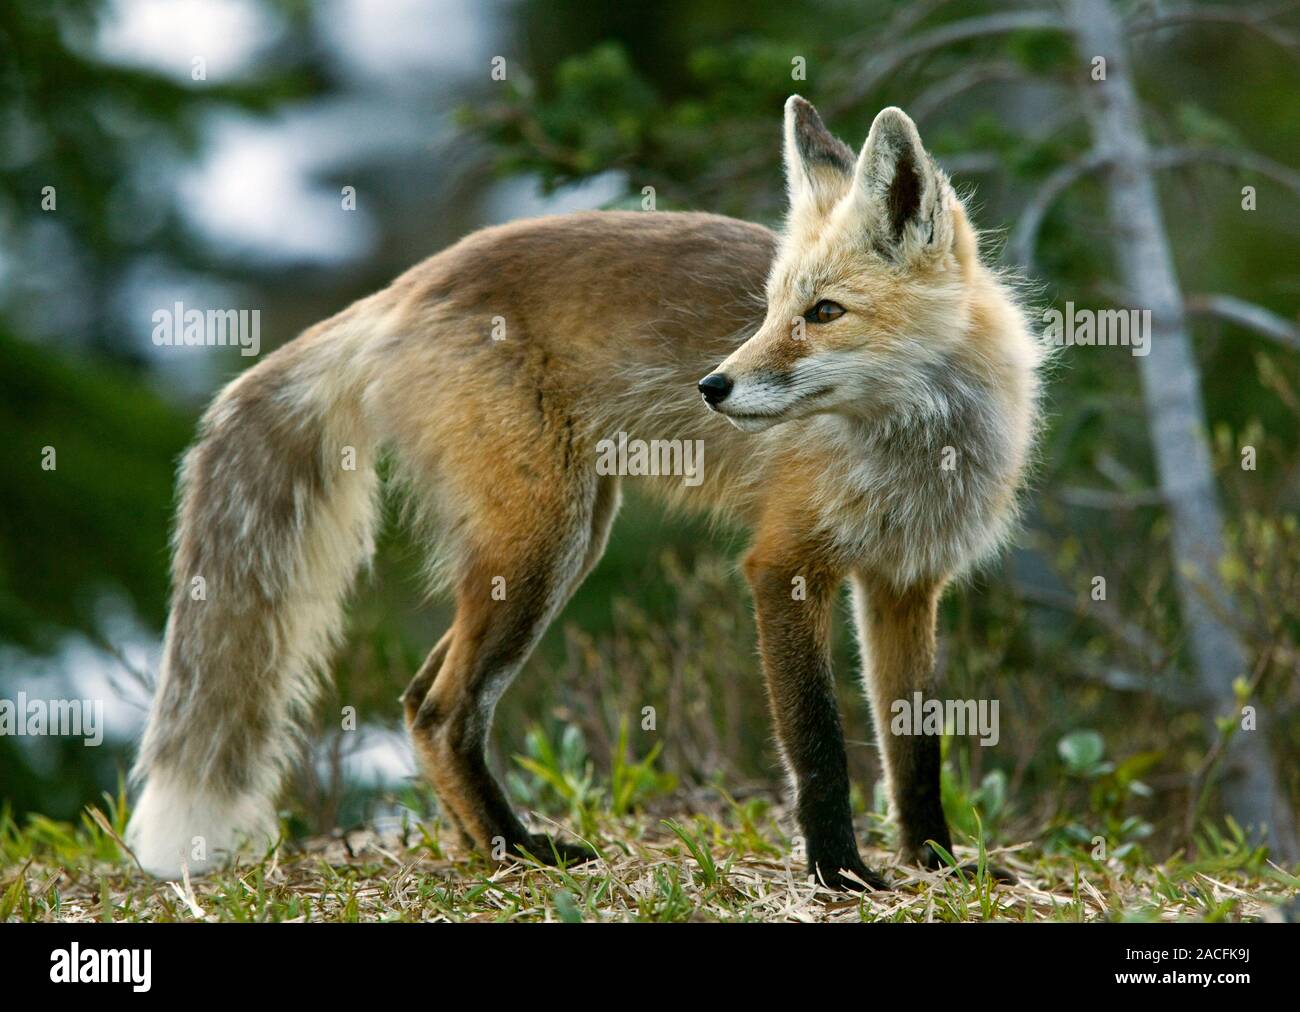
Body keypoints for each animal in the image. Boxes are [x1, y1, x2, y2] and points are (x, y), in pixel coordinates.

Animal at [129, 94, 1045, 884]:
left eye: (823, 312)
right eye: (768, 308)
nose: (713, 386)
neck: (920, 452)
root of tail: (405, 287)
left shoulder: (906, 581)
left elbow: (915, 749)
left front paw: (938, 863)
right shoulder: (784, 565)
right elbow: (816, 741)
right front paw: (840, 873)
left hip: (554, 540)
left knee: (419, 696)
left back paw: (482, 848)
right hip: (545, 542)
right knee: (441, 708)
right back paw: (521, 849)